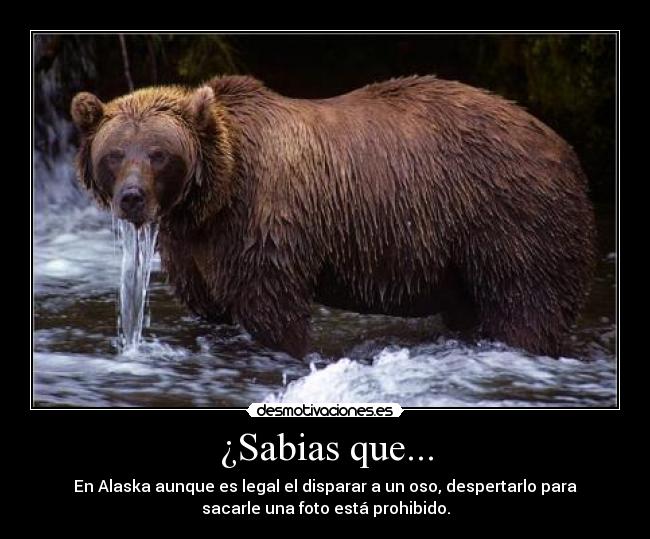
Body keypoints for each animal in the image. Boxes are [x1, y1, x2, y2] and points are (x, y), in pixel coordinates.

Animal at [70, 75, 596, 358]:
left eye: (158, 154)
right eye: (115, 153)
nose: (132, 198)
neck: (217, 194)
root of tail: (564, 148)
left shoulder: (266, 222)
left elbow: (272, 308)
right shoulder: (196, 244)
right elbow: (209, 305)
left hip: (508, 216)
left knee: (526, 303)